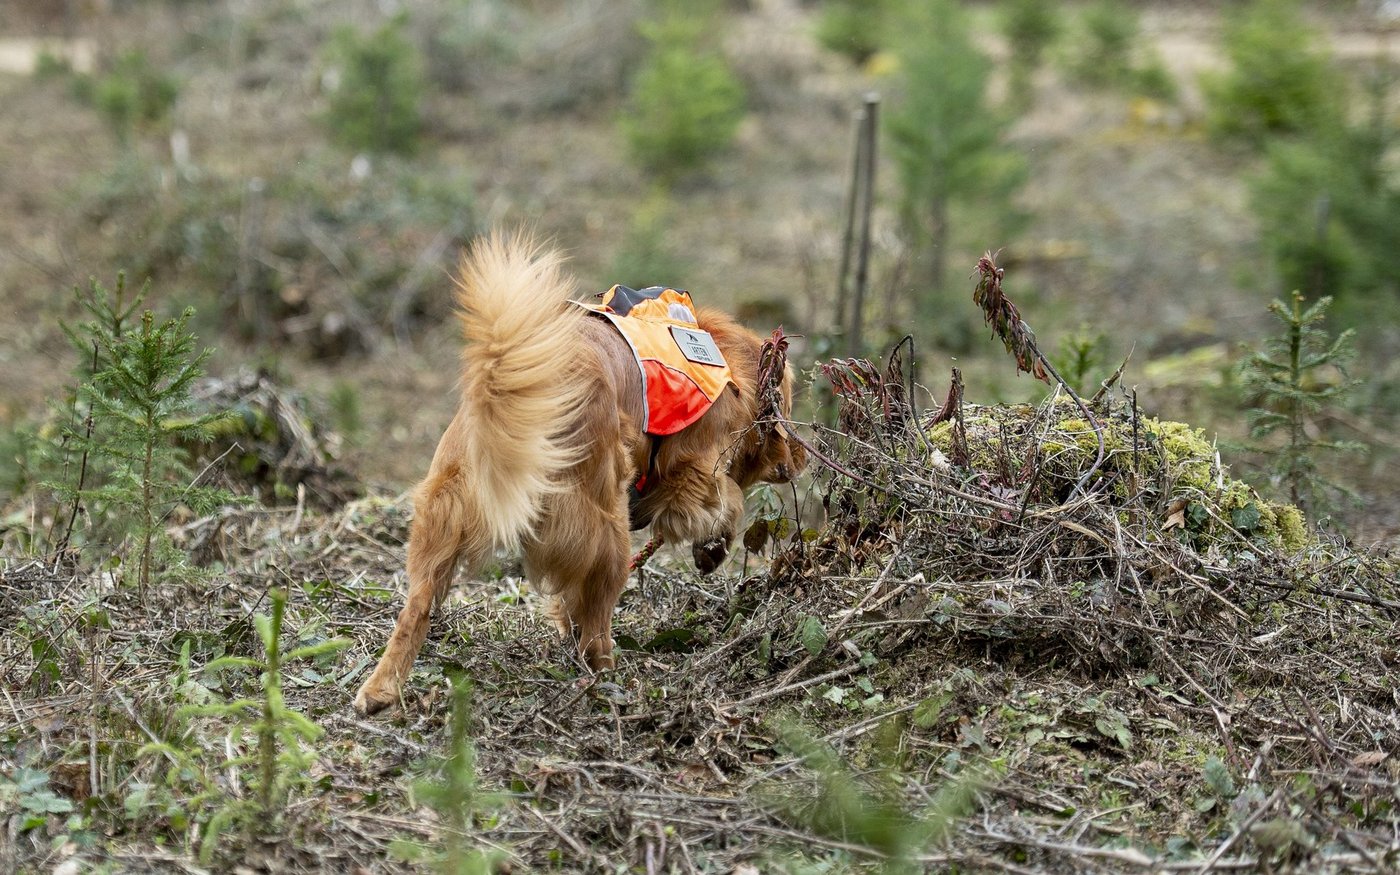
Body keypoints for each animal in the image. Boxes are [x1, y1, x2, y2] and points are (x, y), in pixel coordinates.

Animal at [353, 233, 805, 715]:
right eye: (788, 409)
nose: (803, 457)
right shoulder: (696, 469)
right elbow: (727, 502)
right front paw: (713, 548)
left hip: (442, 520)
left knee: (415, 608)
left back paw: (379, 690)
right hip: (607, 527)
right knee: (600, 613)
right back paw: (606, 670)